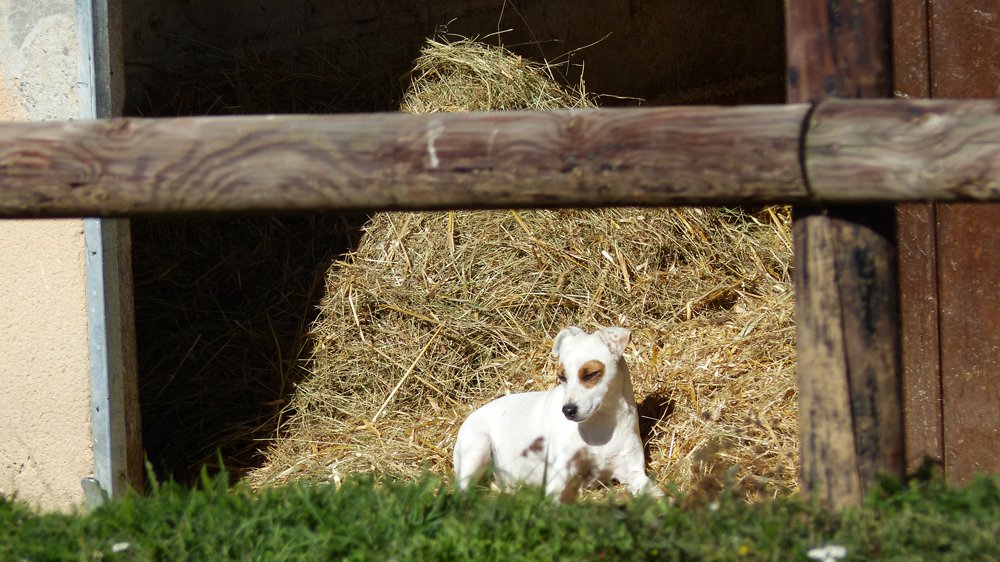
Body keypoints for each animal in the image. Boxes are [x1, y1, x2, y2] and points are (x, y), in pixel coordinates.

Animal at [453, 326, 662, 502]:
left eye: (590, 374)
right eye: (562, 377)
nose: (568, 410)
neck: (600, 424)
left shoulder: (633, 472)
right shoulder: (560, 475)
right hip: (476, 450)